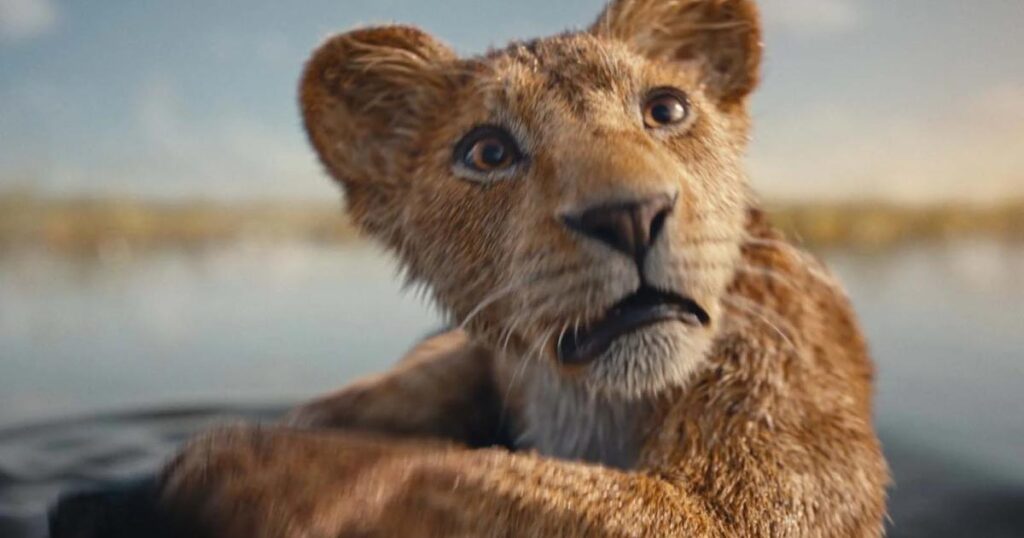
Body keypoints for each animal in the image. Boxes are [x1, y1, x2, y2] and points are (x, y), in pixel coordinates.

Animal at [50, 0, 889, 536]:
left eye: (667, 110)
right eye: (488, 151)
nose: (630, 215)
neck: (588, 400)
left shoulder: (757, 487)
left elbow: (436, 473)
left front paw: (217, 466)